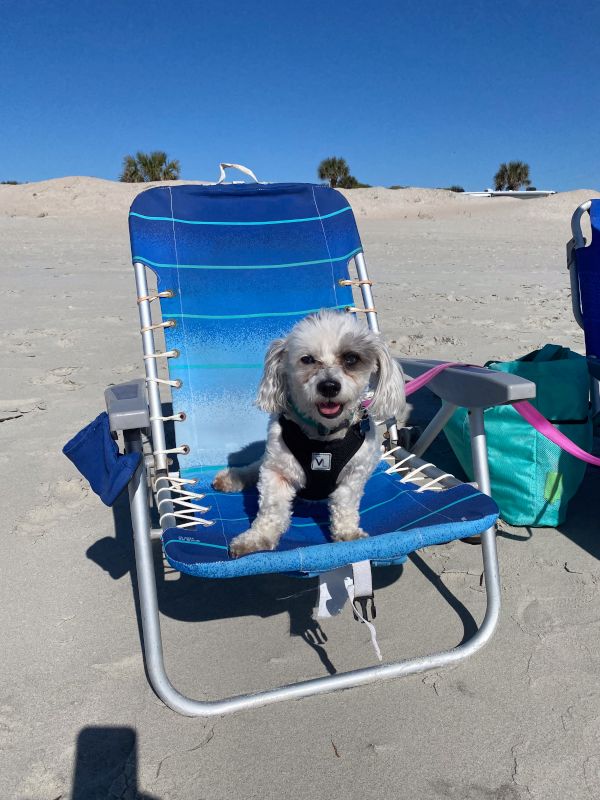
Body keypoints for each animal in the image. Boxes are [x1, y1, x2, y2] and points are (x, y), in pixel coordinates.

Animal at [213, 308, 406, 556]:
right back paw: (232, 478)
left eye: (351, 359)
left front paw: (347, 533)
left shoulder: (355, 475)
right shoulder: (277, 471)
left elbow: (345, 505)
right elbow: (271, 509)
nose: (329, 386)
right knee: (254, 468)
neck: (323, 435)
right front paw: (257, 538)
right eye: (307, 359)